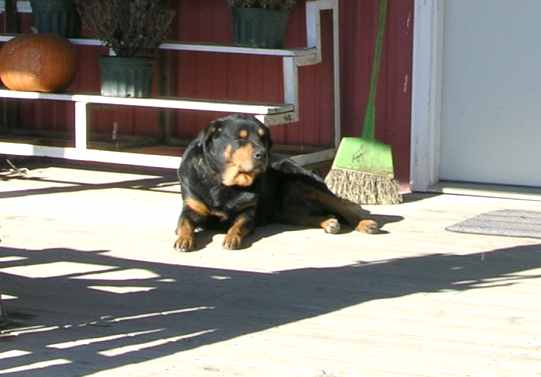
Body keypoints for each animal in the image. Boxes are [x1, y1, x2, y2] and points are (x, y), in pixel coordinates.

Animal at [175, 113, 378, 251]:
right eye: (240, 138)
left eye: (263, 138)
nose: (262, 154)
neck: (223, 183)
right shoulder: (191, 208)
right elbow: (184, 224)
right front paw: (184, 239)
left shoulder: (248, 212)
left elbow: (238, 225)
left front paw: (232, 237)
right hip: (286, 211)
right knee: (307, 215)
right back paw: (329, 222)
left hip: (304, 181)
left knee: (341, 205)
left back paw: (364, 223)